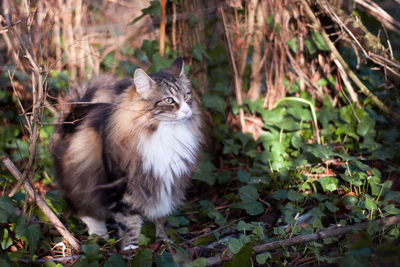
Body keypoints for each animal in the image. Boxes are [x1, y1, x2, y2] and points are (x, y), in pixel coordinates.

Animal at [50, 58, 203, 251]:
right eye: (169, 100)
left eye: (188, 96)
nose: (186, 111)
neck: (163, 134)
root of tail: (74, 116)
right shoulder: (121, 189)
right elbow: (129, 223)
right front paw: (131, 249)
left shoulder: (166, 184)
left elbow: (161, 218)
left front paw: (164, 242)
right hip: (82, 179)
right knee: (84, 210)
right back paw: (99, 234)